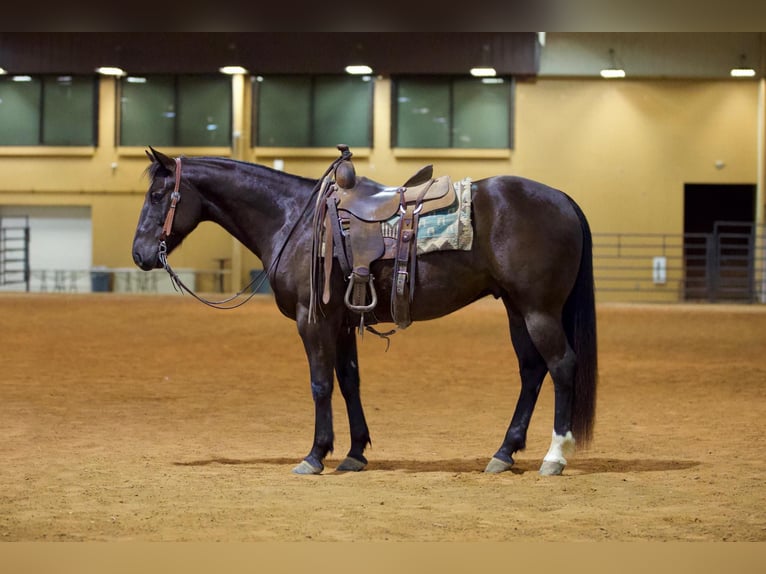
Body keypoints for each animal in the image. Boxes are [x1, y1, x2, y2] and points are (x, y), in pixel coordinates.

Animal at [134, 147, 600, 476]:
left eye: (158, 195)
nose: (140, 254)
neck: (293, 220)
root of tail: (562, 199)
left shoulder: (313, 321)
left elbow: (321, 384)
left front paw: (315, 455)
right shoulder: (340, 324)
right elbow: (349, 382)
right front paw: (355, 452)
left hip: (539, 310)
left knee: (561, 365)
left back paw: (554, 456)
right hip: (517, 309)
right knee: (532, 372)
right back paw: (504, 453)